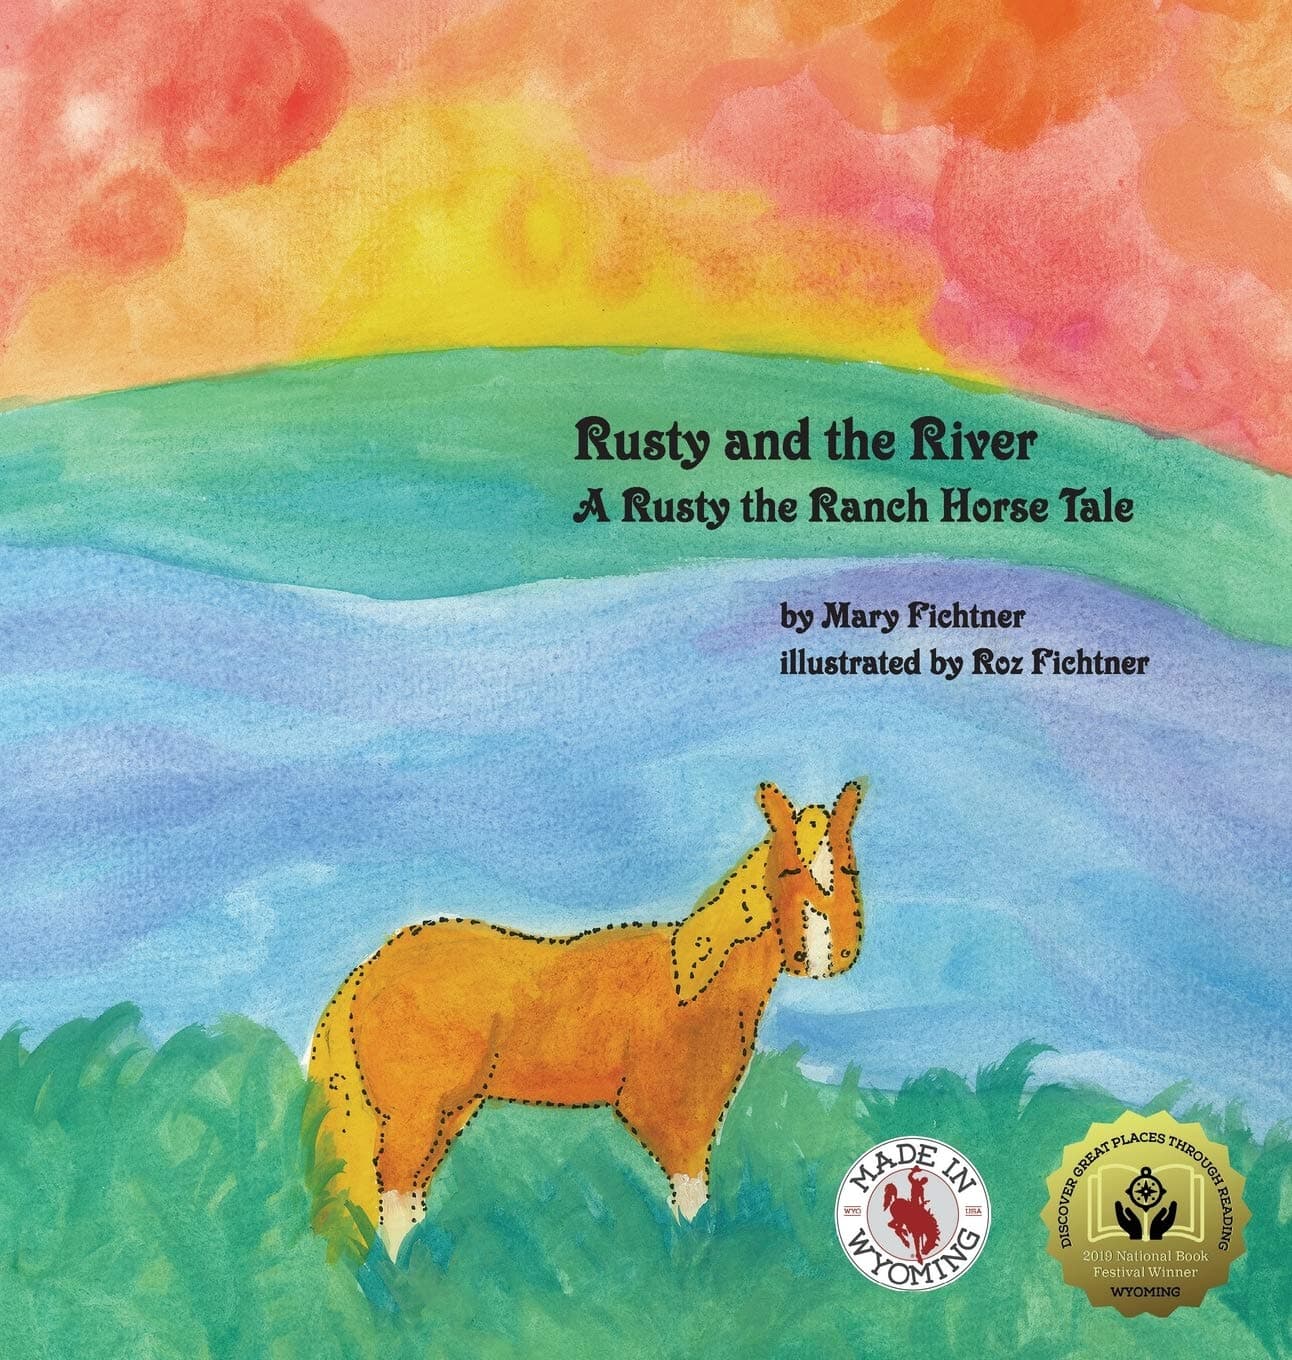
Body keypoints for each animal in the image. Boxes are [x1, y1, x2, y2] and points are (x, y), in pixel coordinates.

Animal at [307, 779, 867, 1261]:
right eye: (787, 871)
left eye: (848, 869)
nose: (825, 958)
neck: (692, 984)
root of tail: (370, 968)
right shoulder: (676, 1116)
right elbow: (690, 1207)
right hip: (412, 1116)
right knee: (394, 1197)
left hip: (449, 1112)